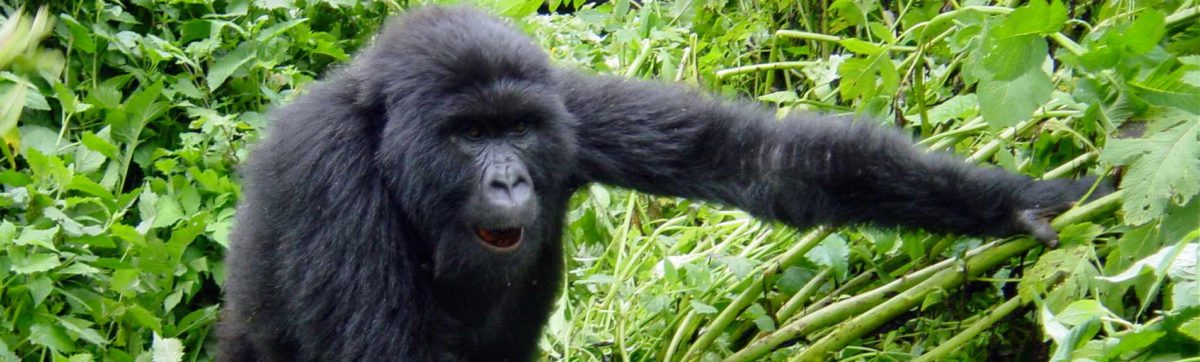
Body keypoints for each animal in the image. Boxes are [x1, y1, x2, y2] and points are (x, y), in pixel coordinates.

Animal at [220, 5, 1099, 362]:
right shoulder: (328, 173)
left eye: (516, 130)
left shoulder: (568, 109)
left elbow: (768, 164)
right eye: (468, 136)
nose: (508, 181)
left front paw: (1017, 202)